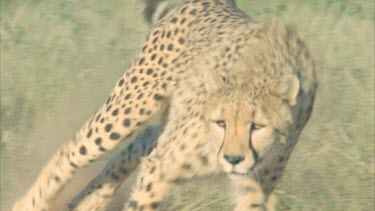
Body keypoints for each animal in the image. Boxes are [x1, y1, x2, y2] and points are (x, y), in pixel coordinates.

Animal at [12, 0, 318, 211]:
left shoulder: (254, 187)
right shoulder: (160, 168)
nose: (233, 159)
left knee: (135, 146)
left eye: (258, 126)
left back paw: (88, 203)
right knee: (74, 149)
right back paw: (29, 203)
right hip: (129, 107)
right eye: (221, 122)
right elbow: (141, 201)